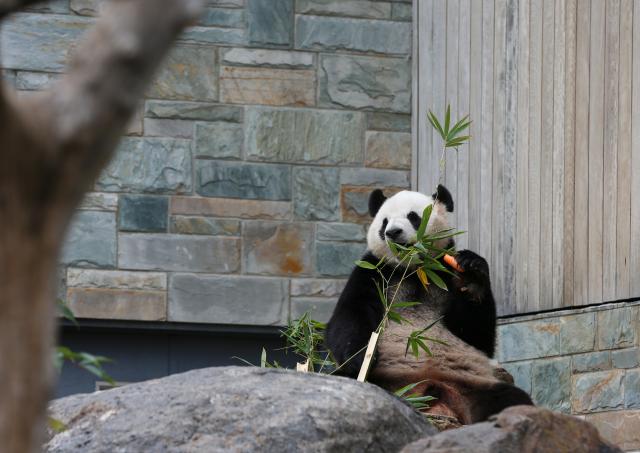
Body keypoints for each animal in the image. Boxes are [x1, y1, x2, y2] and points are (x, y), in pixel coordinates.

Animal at [325, 185, 532, 424]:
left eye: (413, 217)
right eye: (384, 222)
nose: (392, 232)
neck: (415, 270)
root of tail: (430, 390)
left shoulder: (445, 272)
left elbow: (477, 335)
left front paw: (472, 274)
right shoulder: (374, 273)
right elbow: (350, 315)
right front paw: (359, 358)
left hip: (470, 384)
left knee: (509, 398)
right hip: (383, 379)